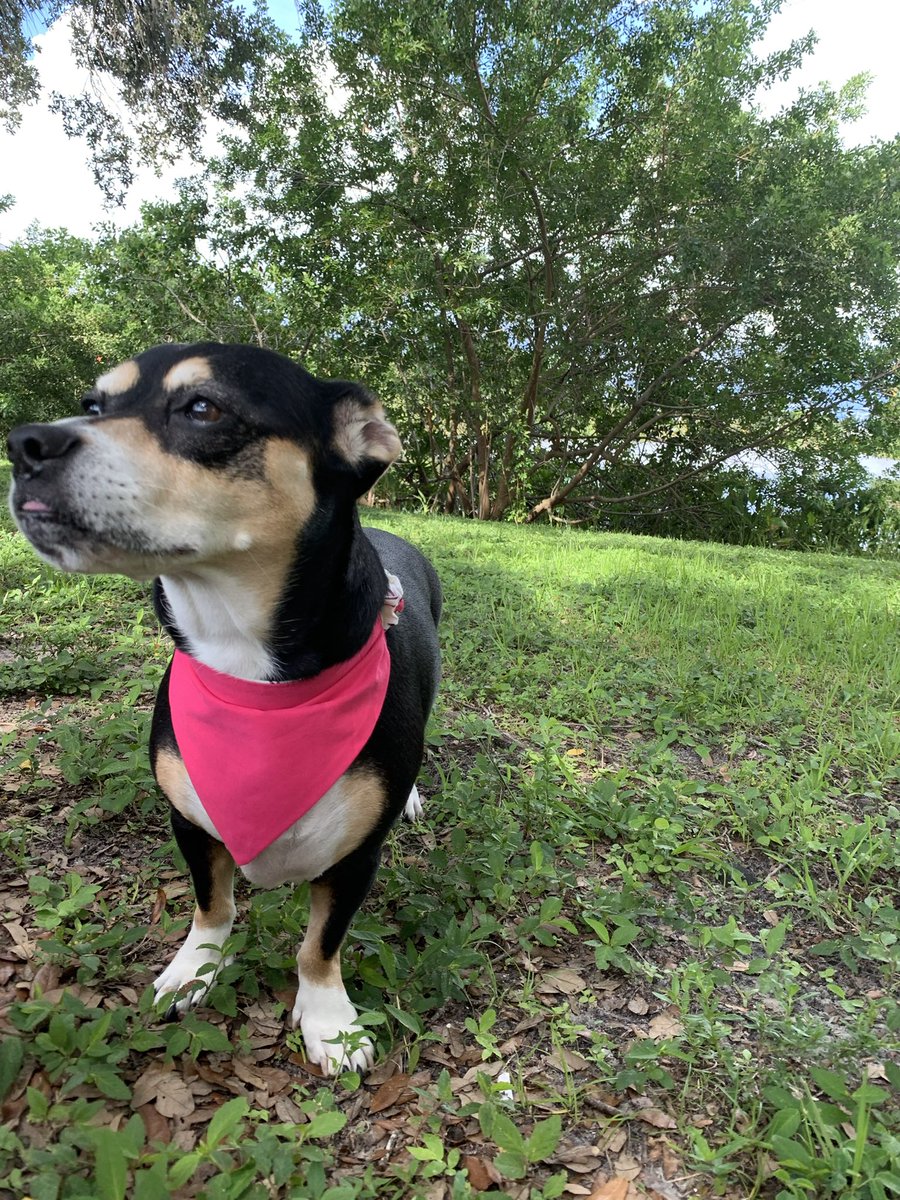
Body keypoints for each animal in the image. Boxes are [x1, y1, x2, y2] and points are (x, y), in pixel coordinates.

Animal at [6, 343, 444, 1075]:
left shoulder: (356, 859)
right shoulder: (191, 821)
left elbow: (320, 943)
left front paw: (329, 1020)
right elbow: (212, 904)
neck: (249, 670)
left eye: (203, 408)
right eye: (94, 404)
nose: (23, 444)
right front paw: (195, 968)